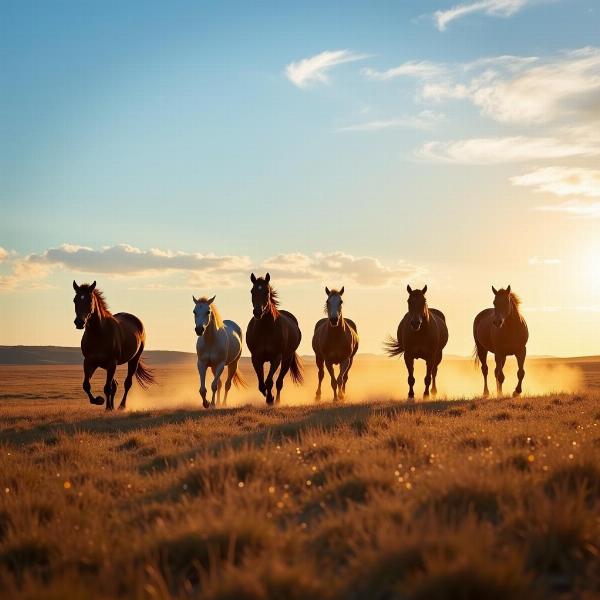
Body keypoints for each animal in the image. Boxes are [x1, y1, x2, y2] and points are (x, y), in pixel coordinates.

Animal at [245, 274, 302, 406]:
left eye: (267, 291)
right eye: (252, 291)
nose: (257, 312)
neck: (265, 329)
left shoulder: (276, 358)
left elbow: (269, 381)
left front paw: (270, 398)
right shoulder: (256, 358)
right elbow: (261, 384)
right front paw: (267, 396)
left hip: (287, 359)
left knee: (279, 382)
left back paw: (277, 400)